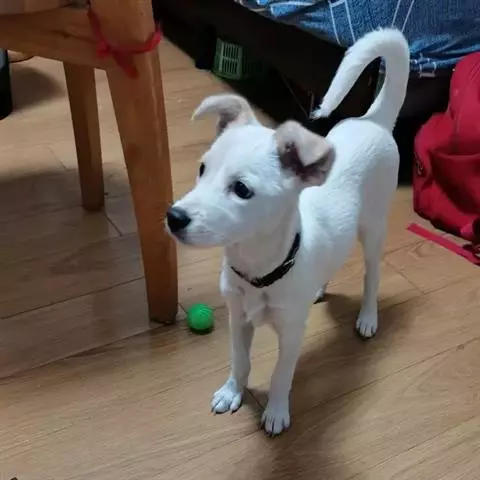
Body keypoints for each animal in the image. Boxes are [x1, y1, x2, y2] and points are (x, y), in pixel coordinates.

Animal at [166, 29, 410, 435]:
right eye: (202, 169)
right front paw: (232, 391)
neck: (257, 271)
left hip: (373, 228)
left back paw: (368, 318)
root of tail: (374, 121)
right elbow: (240, 360)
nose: (173, 217)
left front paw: (277, 411)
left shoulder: (292, 333)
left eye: (242, 189)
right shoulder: (237, 318)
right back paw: (320, 288)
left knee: (372, 275)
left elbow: (282, 374)